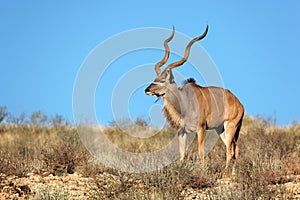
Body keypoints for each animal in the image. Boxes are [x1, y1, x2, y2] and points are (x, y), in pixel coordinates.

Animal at [144, 25, 245, 177]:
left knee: (230, 151)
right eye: (155, 78)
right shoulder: (182, 132)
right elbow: (182, 154)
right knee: (235, 149)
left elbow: (201, 152)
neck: (184, 102)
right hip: (221, 130)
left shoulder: (201, 128)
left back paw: (225, 176)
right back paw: (232, 175)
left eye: (162, 80)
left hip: (231, 126)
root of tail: (239, 104)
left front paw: (202, 172)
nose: (147, 90)